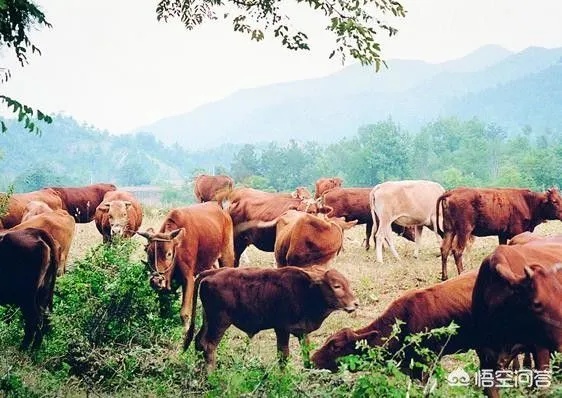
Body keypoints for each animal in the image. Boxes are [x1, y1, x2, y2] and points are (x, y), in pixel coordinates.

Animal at [185, 266, 358, 372]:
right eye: (336, 286)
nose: (355, 303)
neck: (307, 290)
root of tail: (211, 273)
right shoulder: (281, 329)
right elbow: (283, 355)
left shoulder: (302, 332)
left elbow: (306, 351)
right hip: (219, 322)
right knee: (209, 345)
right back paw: (210, 375)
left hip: (208, 320)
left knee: (199, 341)